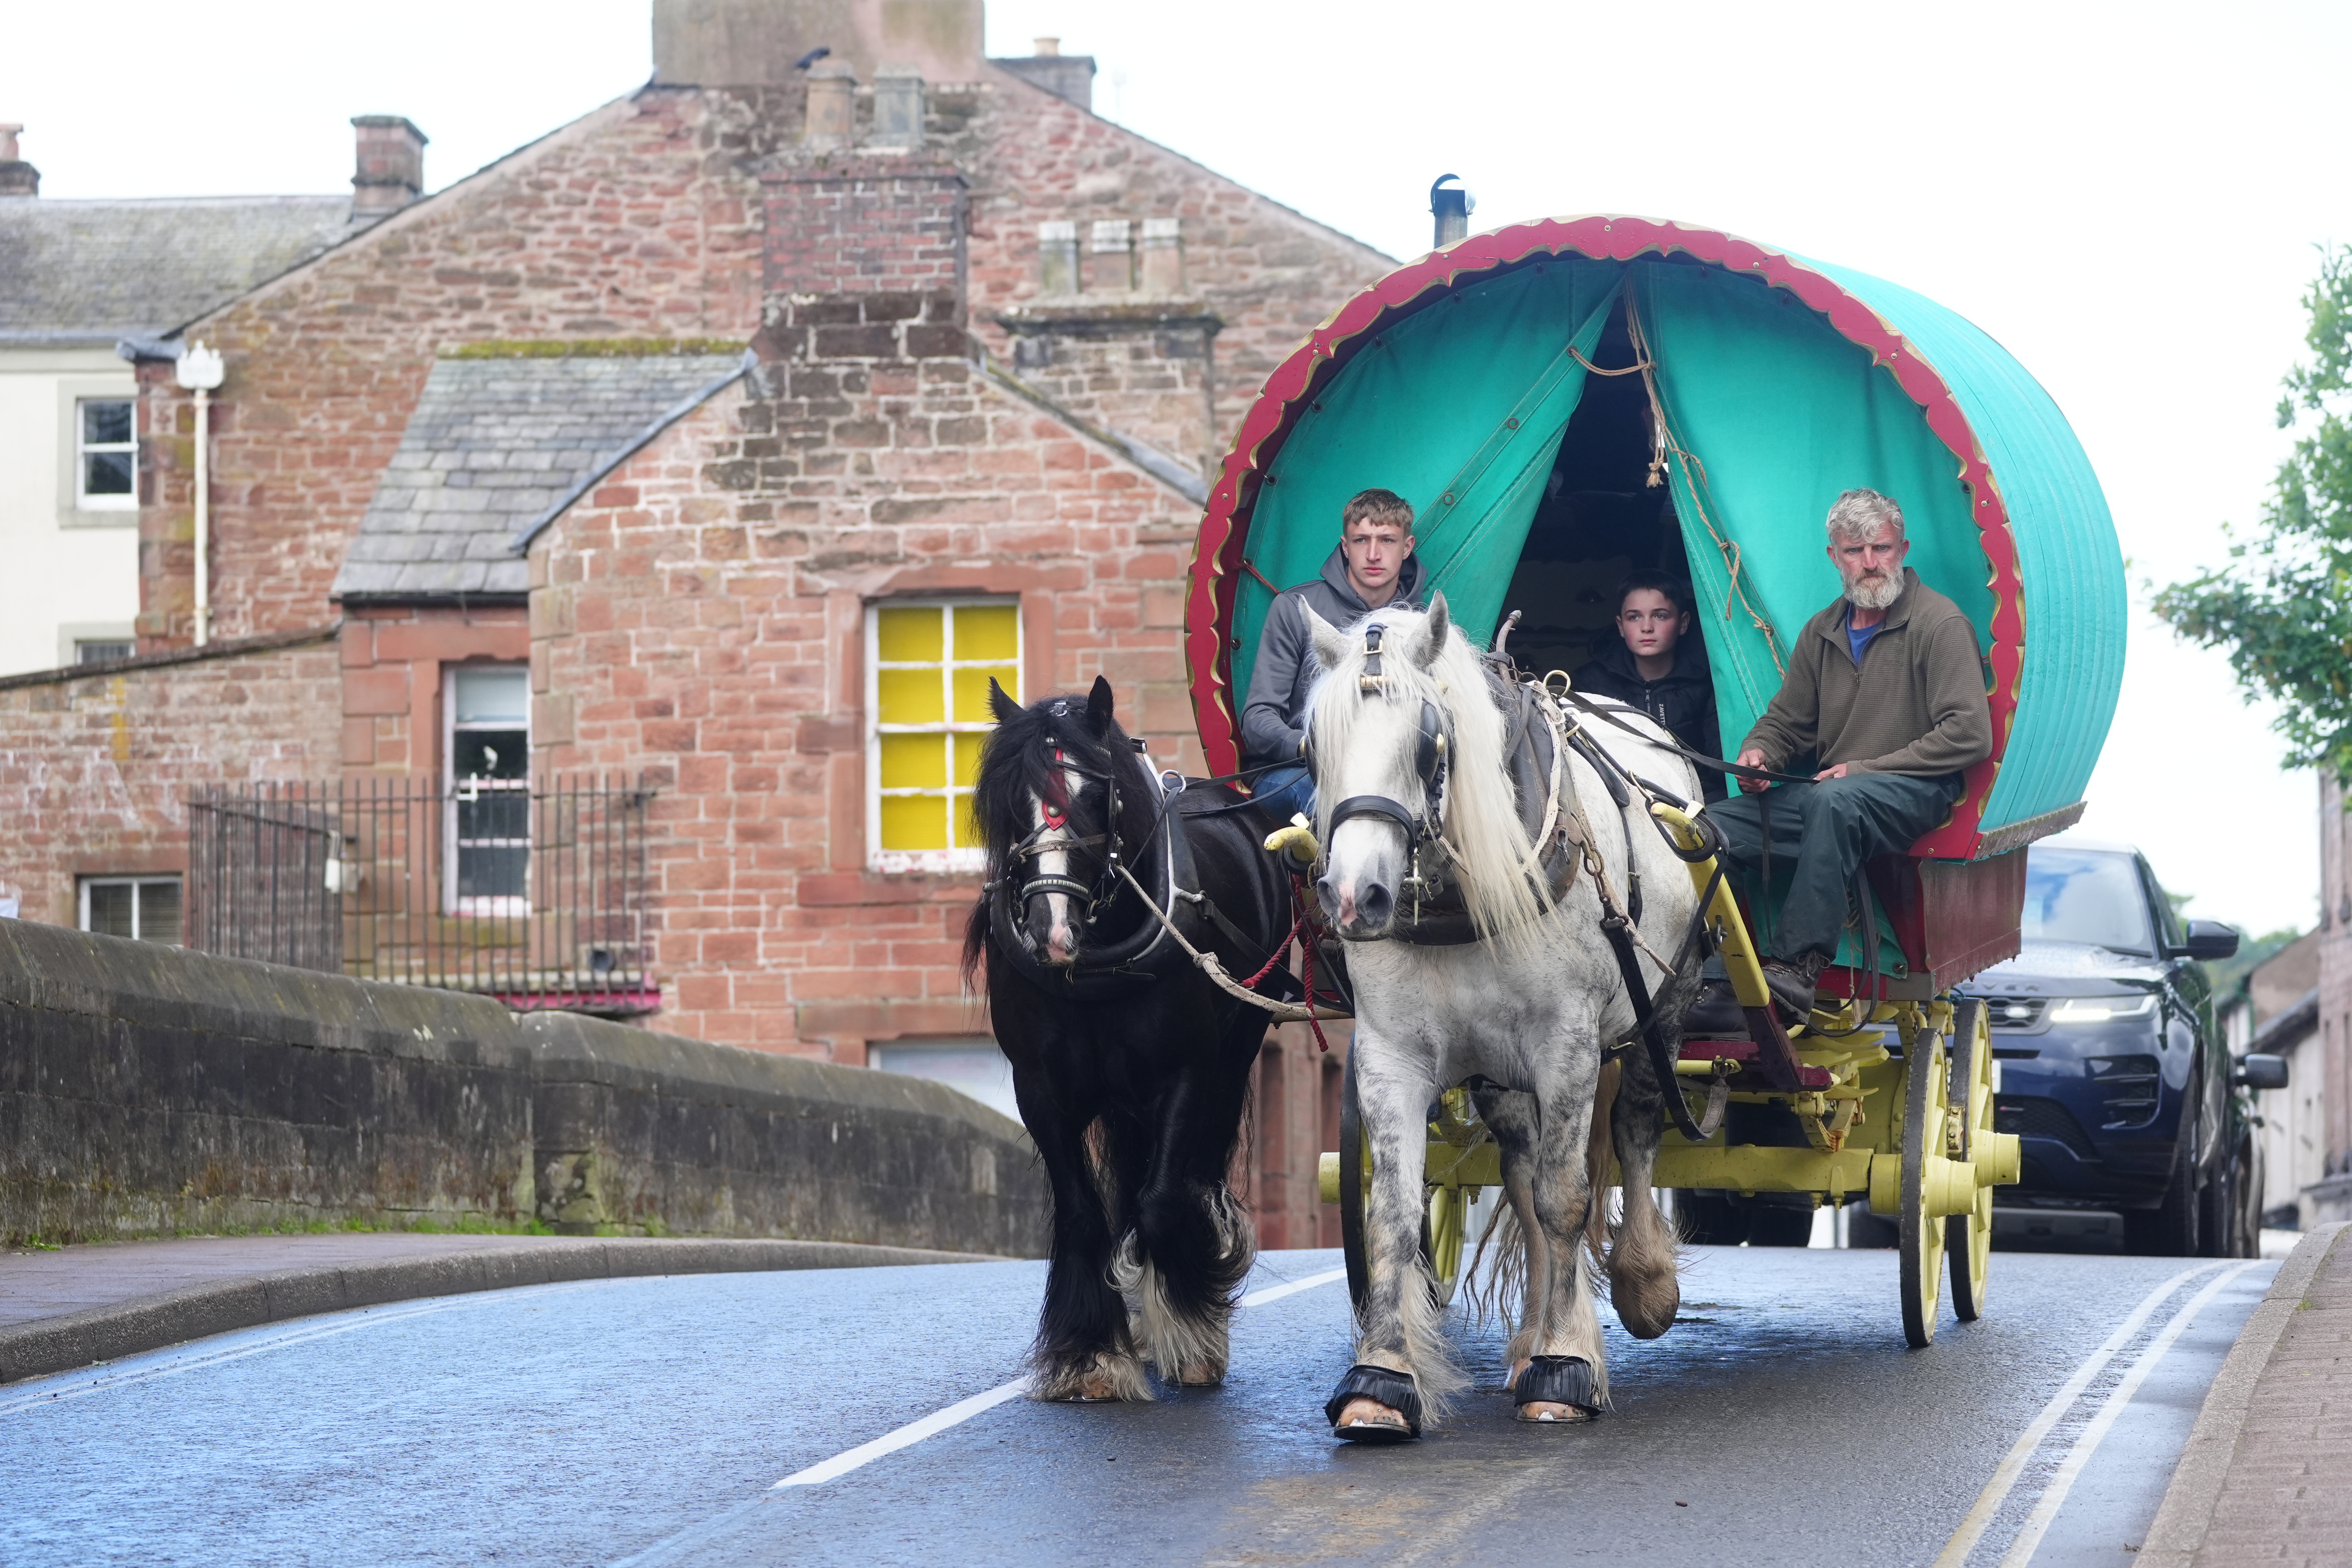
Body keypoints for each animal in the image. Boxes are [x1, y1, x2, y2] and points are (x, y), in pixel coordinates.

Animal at [969, 677, 1308, 1401]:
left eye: (1095, 794)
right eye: (1010, 797)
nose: (1051, 931)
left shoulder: (1184, 1072)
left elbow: (1160, 1201)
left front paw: (1190, 1324)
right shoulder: (1039, 1088)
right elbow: (1083, 1212)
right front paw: (1092, 1354)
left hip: (1235, 1052)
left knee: (1195, 1171)